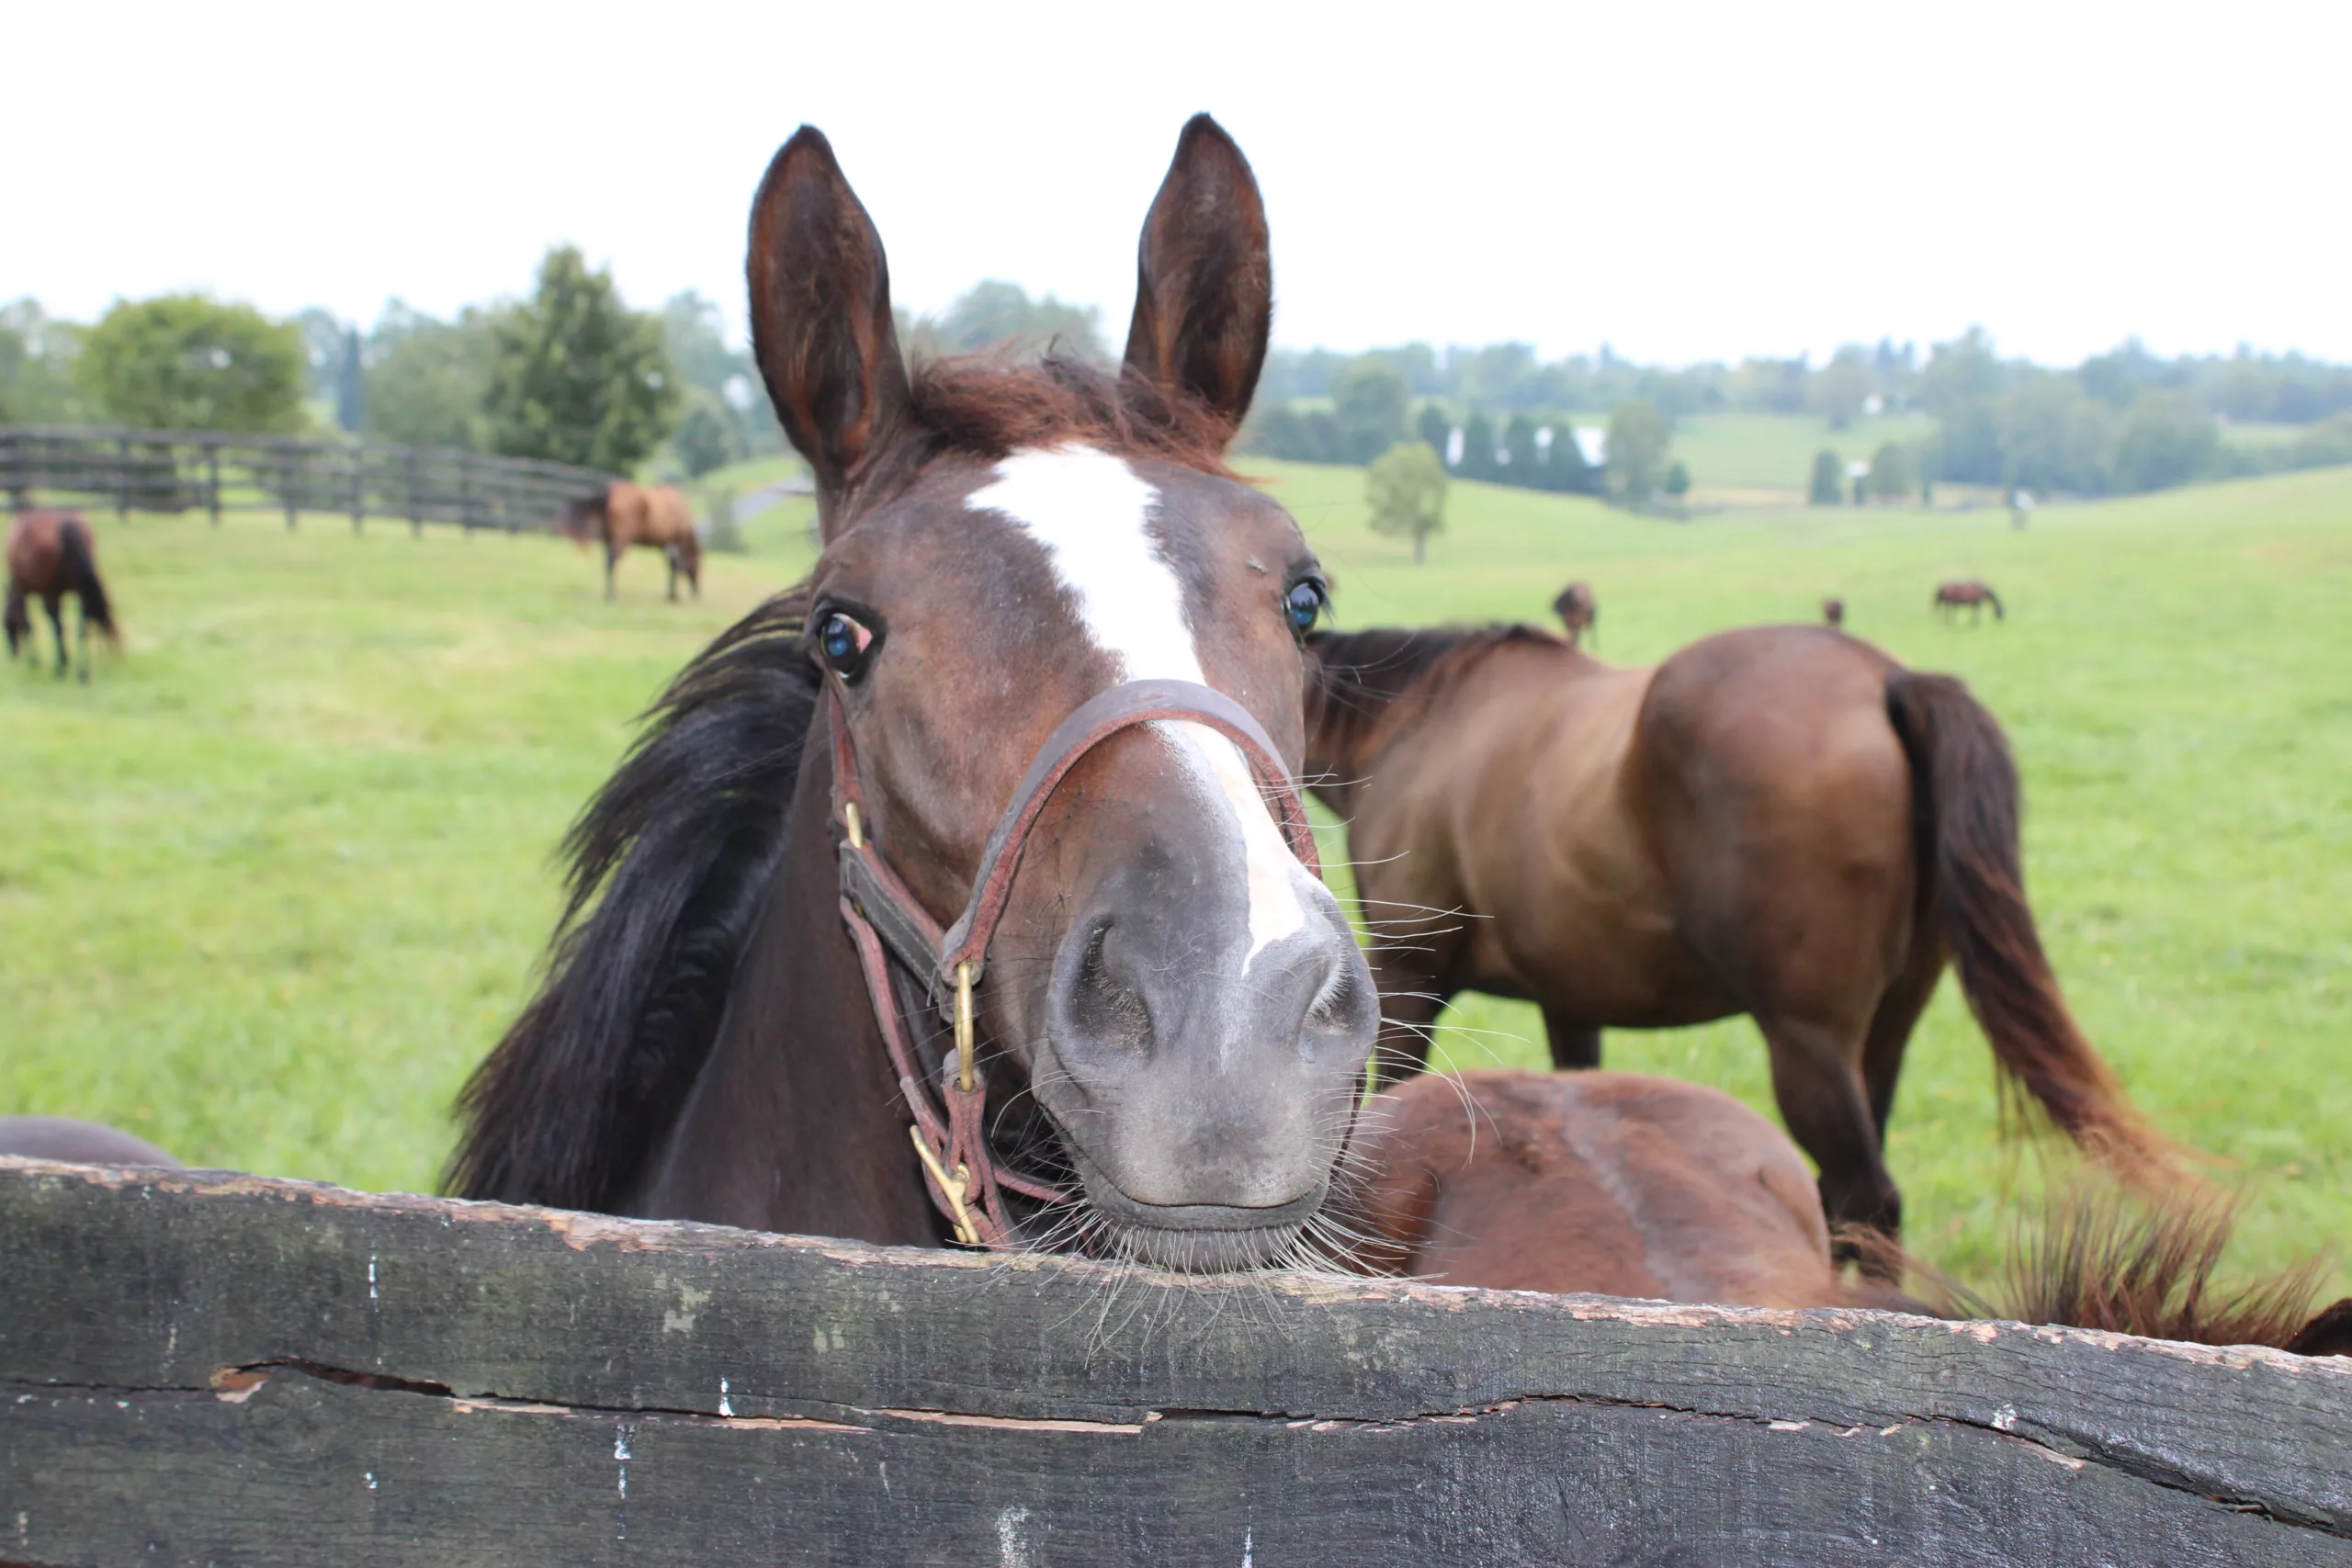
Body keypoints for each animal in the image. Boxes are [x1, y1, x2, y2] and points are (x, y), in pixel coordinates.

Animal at [6, 512, 119, 682]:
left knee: (58, 626)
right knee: (82, 625)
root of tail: (65, 521)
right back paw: (83, 672)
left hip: (51, 593)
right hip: (80, 590)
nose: (13, 652)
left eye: (5, 625)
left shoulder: (23, 591)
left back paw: (60, 668)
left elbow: (27, 624)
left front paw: (34, 661)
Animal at [561, 479, 700, 602]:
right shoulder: (673, 540)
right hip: (622, 540)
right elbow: (674, 565)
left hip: (608, 540)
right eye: (696, 564)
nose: (696, 590)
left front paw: (671, 595)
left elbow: (671, 564)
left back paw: (608, 594)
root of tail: (611, 493)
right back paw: (611, 596)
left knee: (607, 563)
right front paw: (674, 596)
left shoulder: (664, 543)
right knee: (612, 562)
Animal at [1307, 625, 2164, 1250]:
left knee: (1866, 1198)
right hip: (1882, 1039)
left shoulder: (1410, 977)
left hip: (1807, 1045)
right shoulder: (1569, 1003)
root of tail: (1883, 681)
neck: (1419, 719)